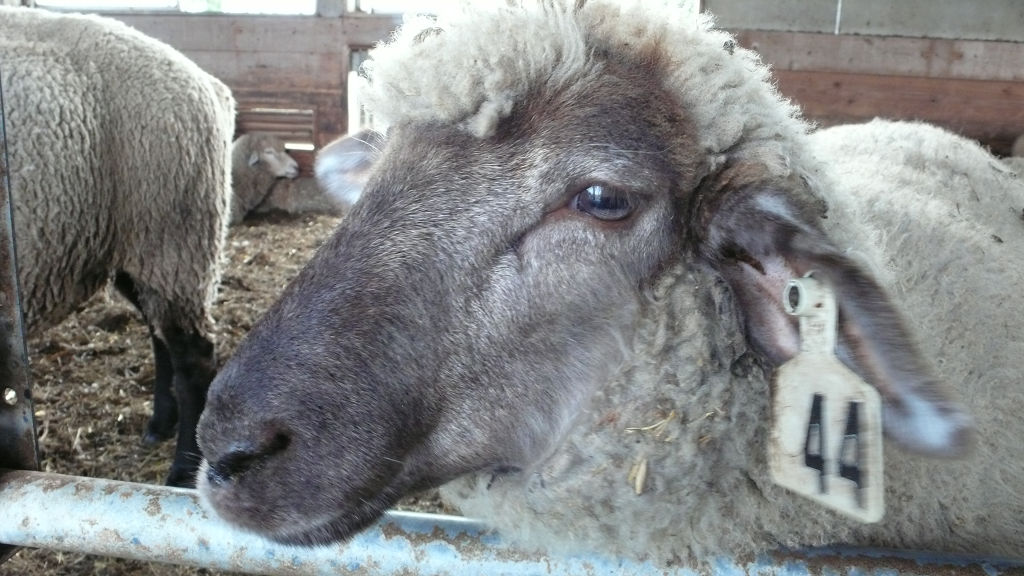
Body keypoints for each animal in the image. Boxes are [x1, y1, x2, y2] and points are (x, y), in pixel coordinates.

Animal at [0, 7, 234, 483]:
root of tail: (208, 83)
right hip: (135, 249)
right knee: (159, 334)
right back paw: (160, 424)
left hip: (173, 238)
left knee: (193, 358)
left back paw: (181, 471)